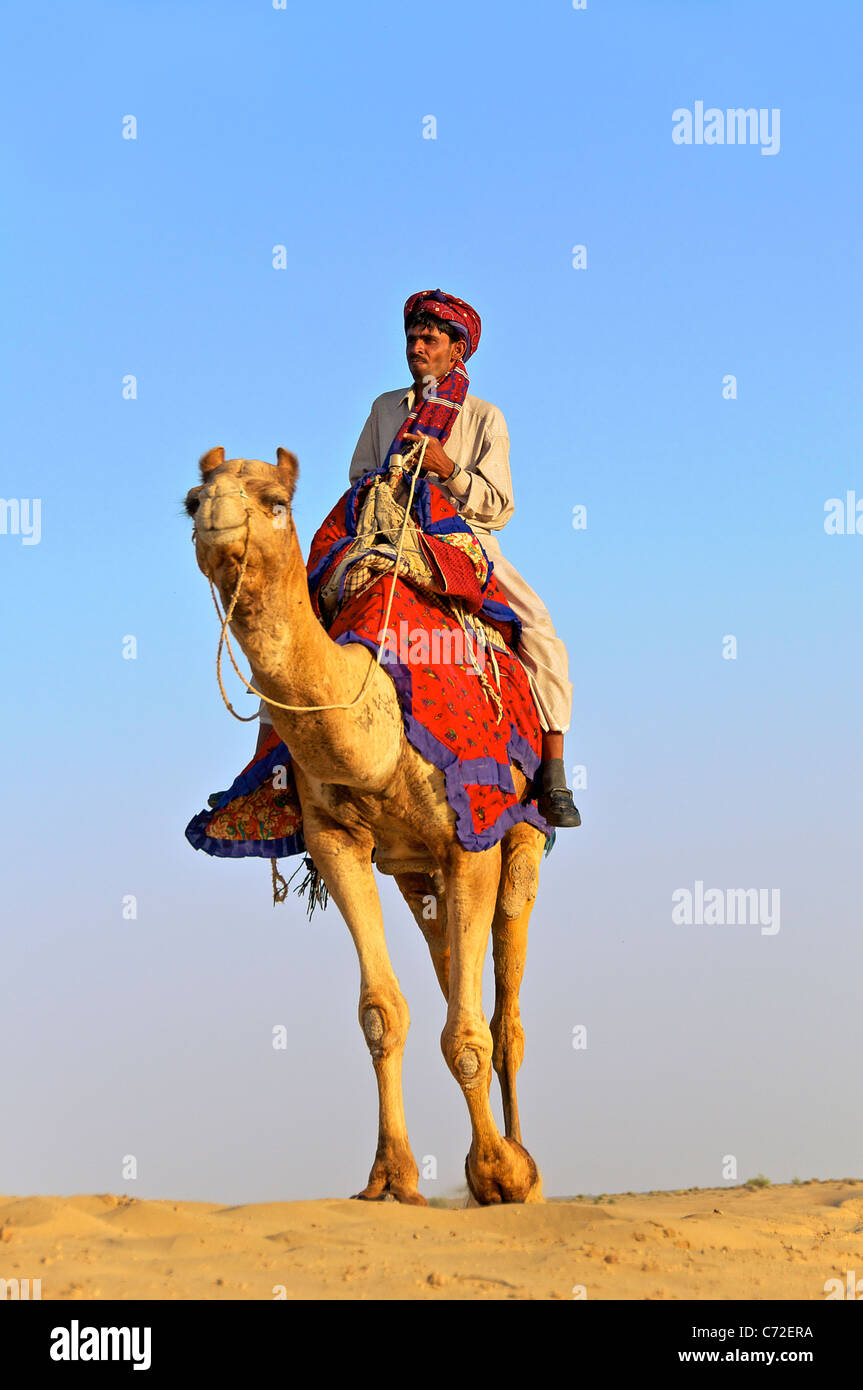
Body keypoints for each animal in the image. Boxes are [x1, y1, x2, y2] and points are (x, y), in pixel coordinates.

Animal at [183, 447, 544, 1206]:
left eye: (273, 500)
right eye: (192, 498)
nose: (213, 518)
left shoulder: (472, 835)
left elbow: (469, 1032)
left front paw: (499, 1173)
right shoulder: (338, 841)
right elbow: (383, 1013)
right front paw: (392, 1178)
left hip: (522, 834)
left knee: (505, 1005)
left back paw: (522, 1162)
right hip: (415, 873)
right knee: (451, 975)